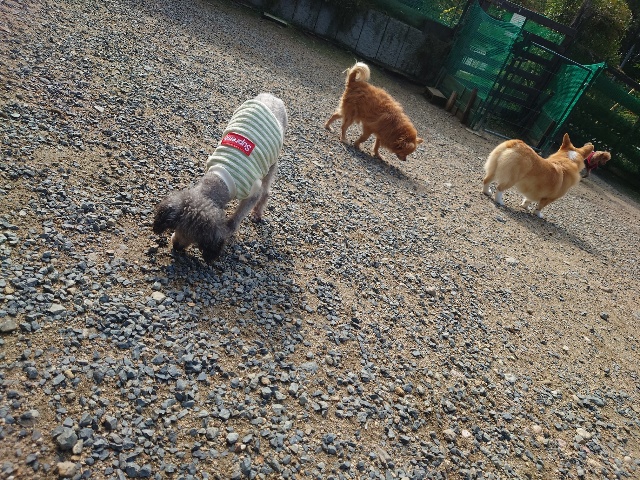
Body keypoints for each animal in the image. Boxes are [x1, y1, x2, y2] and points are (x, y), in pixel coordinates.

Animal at [153, 93, 287, 262]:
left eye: (196, 239)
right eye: (177, 227)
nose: (176, 247)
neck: (219, 181)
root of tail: (273, 97)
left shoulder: (252, 193)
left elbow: (236, 218)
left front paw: (230, 230)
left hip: (271, 161)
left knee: (266, 190)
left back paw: (257, 213)